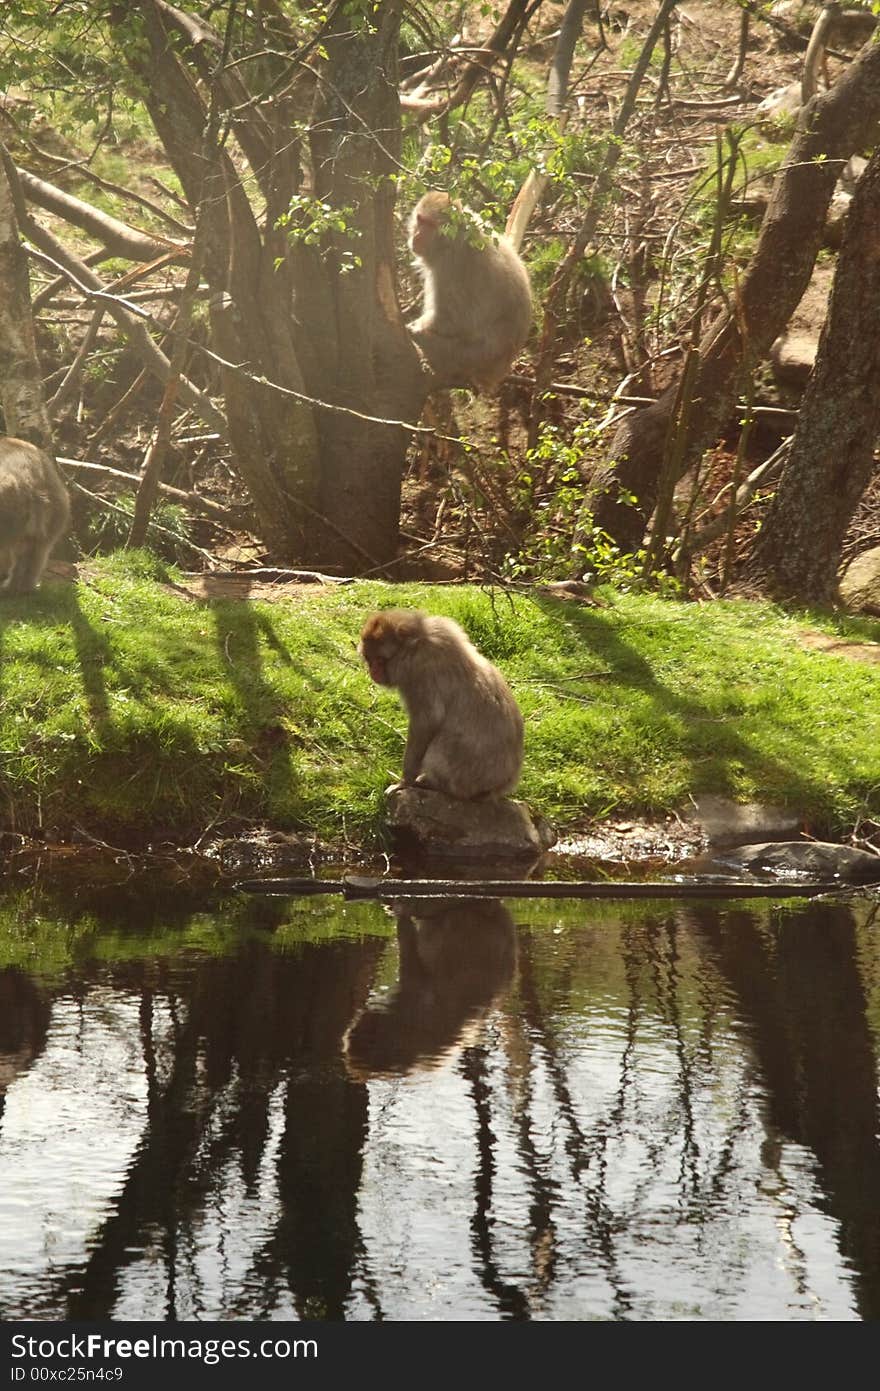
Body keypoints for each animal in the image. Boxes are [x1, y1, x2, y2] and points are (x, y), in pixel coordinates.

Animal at [355, 606, 522, 801]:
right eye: (369, 659)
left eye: (380, 660)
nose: (373, 671)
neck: (418, 643)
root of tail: (501, 787)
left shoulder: (420, 675)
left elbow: (427, 722)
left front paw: (405, 781)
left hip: (465, 778)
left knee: (440, 744)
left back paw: (435, 785)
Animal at [403, 187, 528, 389]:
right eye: (420, 220)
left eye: (430, 225)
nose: (417, 236)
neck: (455, 236)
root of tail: (496, 373)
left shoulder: (450, 264)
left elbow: (455, 320)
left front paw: (416, 328)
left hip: (468, 357)